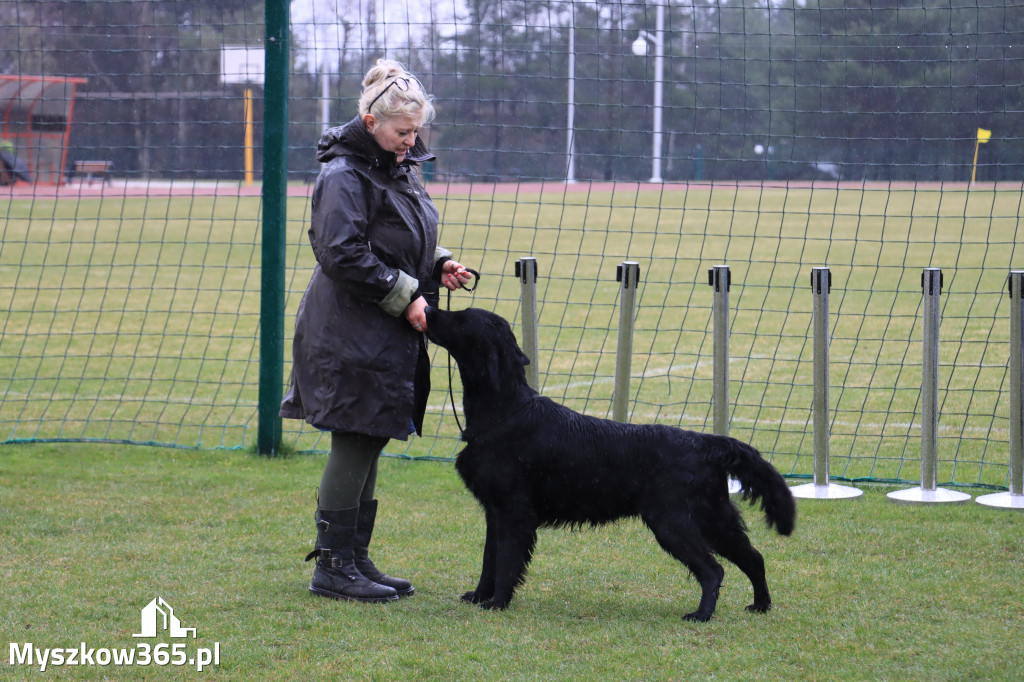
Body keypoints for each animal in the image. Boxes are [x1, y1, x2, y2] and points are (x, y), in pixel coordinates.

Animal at [423, 305, 790, 618]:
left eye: (460, 318)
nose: (426, 308)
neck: (503, 409)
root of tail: (703, 442)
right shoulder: (494, 512)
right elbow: (489, 560)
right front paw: (478, 596)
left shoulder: (514, 512)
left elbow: (506, 562)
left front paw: (497, 603)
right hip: (715, 519)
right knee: (754, 558)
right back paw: (760, 606)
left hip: (672, 522)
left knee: (714, 570)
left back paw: (701, 615)